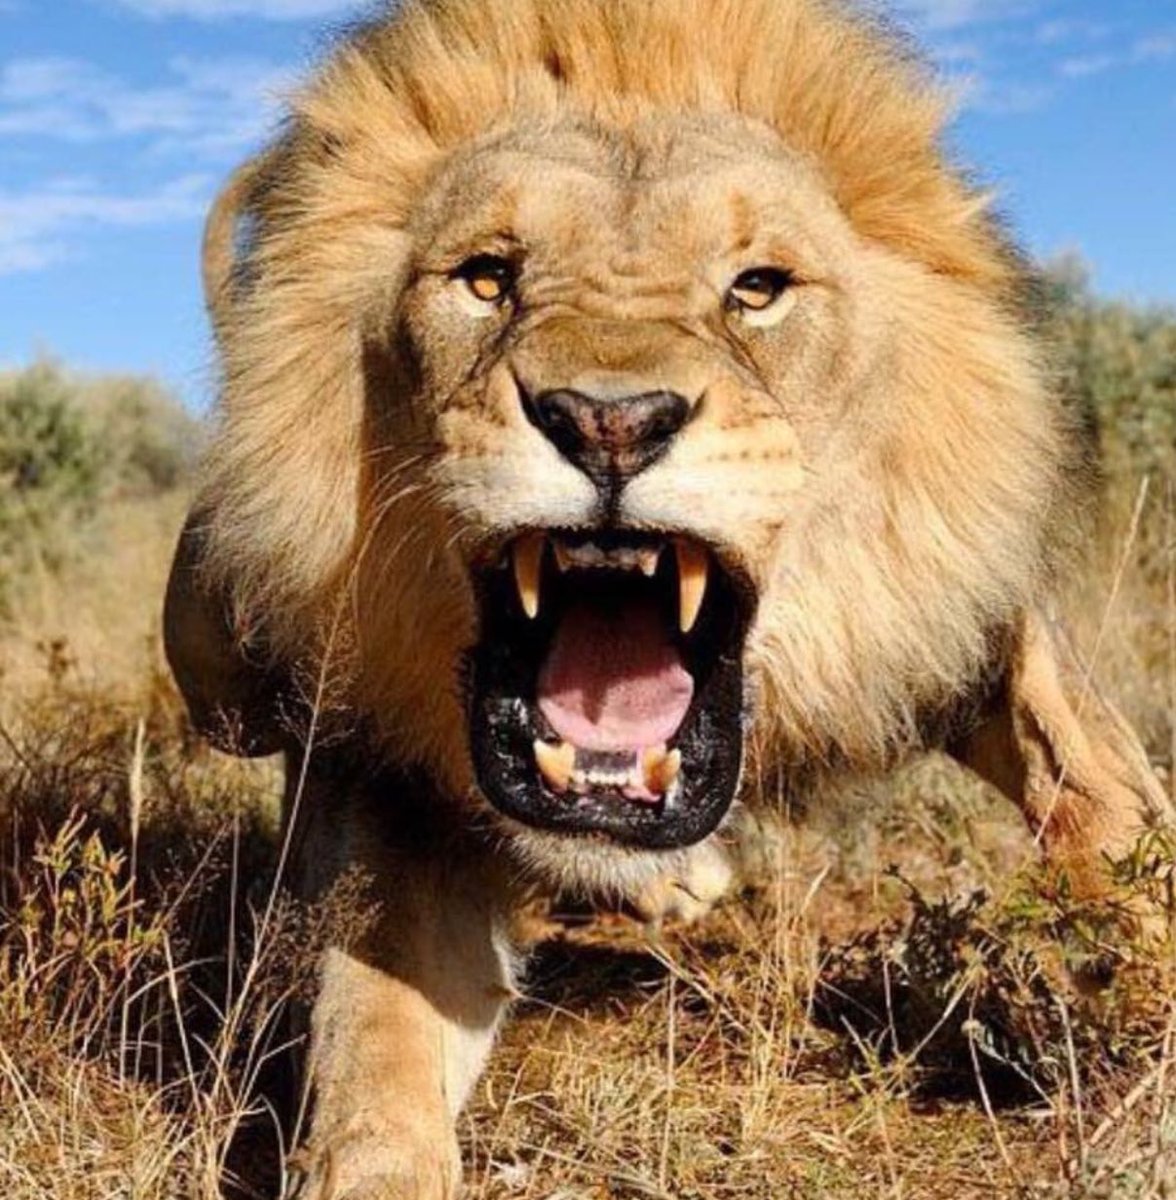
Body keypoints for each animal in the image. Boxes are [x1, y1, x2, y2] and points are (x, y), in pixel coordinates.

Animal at [162, 0, 1170, 1194]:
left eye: (758, 288)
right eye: (487, 278)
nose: (610, 421)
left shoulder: (968, 610)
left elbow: (1107, 794)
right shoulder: (390, 767)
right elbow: (377, 1033)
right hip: (223, 657)